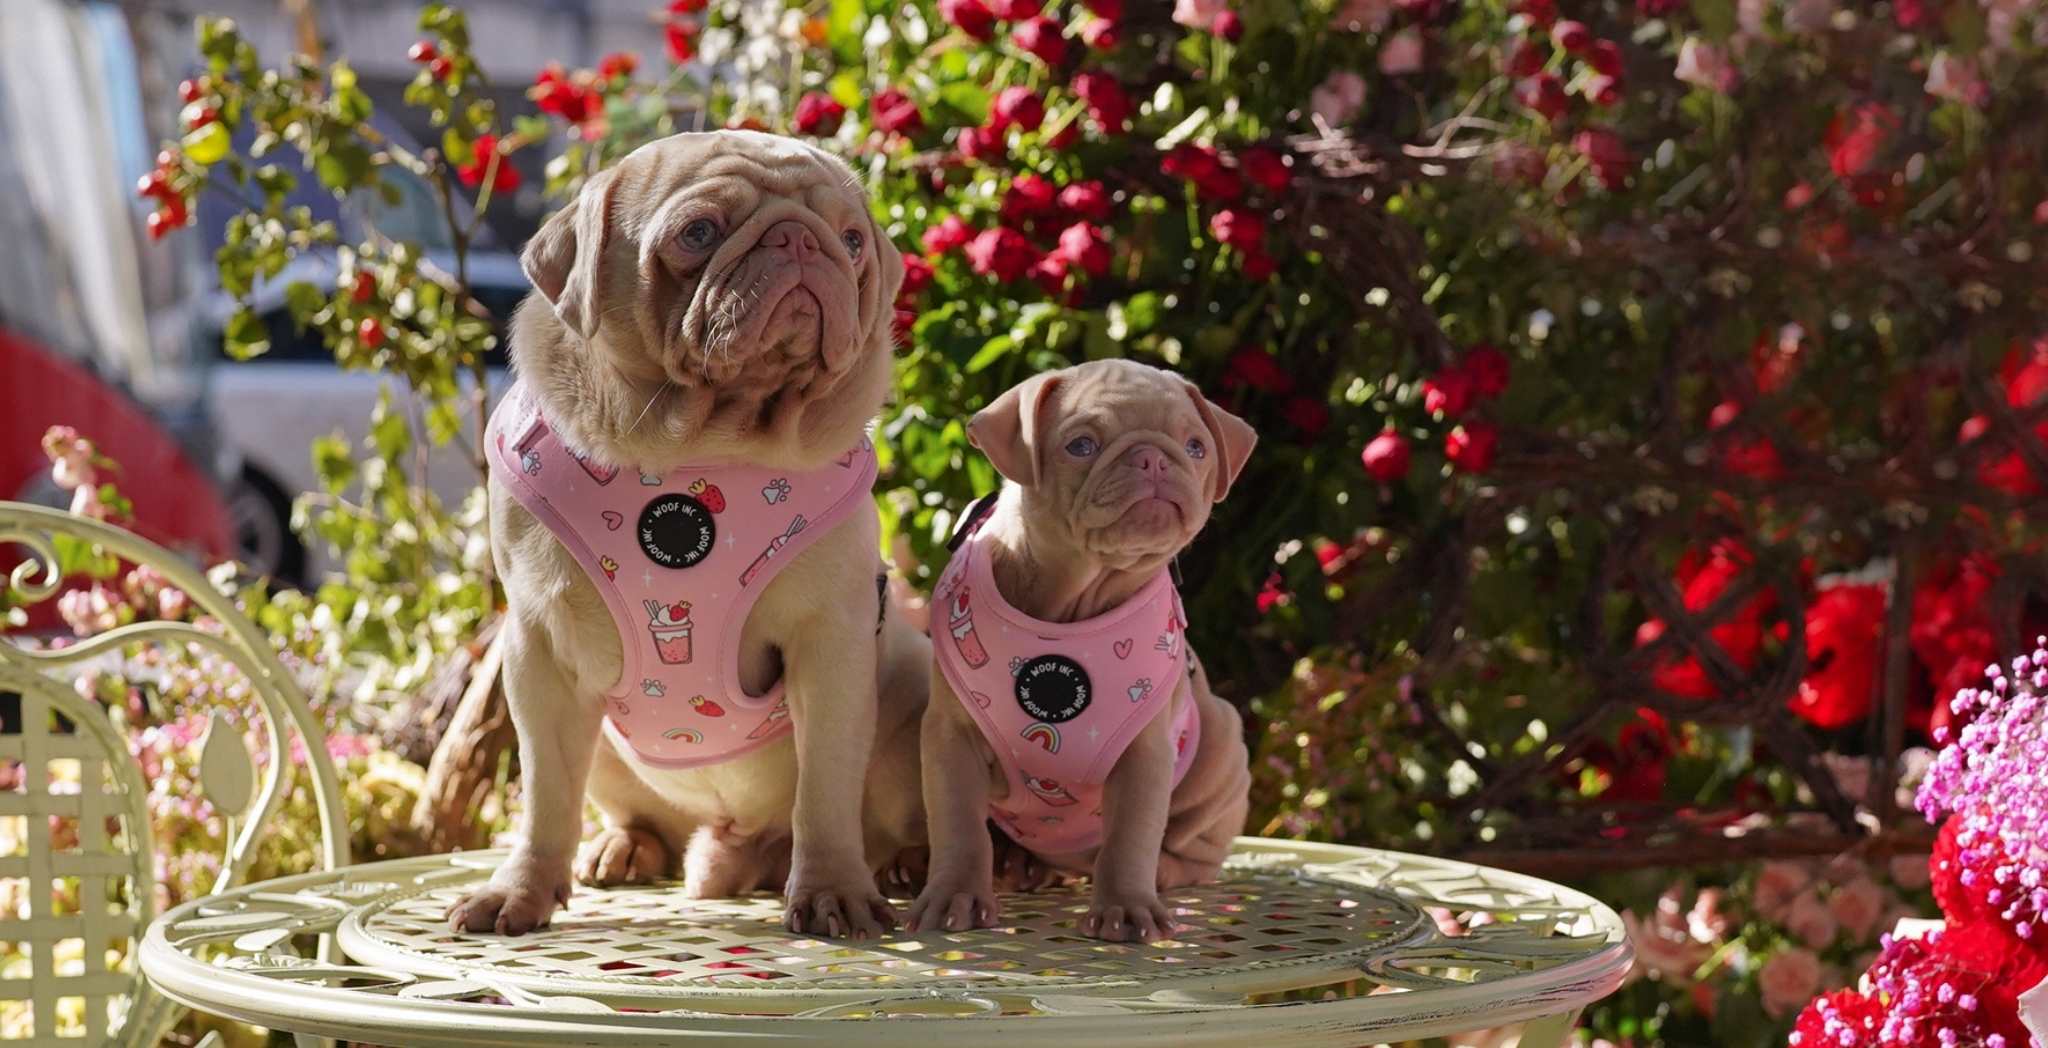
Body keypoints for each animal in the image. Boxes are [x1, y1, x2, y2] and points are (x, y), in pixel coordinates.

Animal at [454, 131, 929, 941]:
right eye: (698, 233)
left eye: (853, 241)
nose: (801, 239)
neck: (702, 444)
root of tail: (736, 853)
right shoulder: (539, 654)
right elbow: (545, 798)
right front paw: (521, 891)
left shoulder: (831, 645)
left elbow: (826, 789)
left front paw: (833, 890)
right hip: (610, 752)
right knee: (622, 810)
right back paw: (624, 847)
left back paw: (924, 863)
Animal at [909, 358, 1245, 941]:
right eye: (1081, 445)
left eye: (1196, 447)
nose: (1154, 457)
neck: (1072, 602)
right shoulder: (951, 739)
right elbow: (958, 824)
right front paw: (955, 895)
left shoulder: (1145, 755)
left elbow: (1131, 835)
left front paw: (1127, 907)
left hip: (1223, 742)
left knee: (1191, 851)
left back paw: (1160, 871)